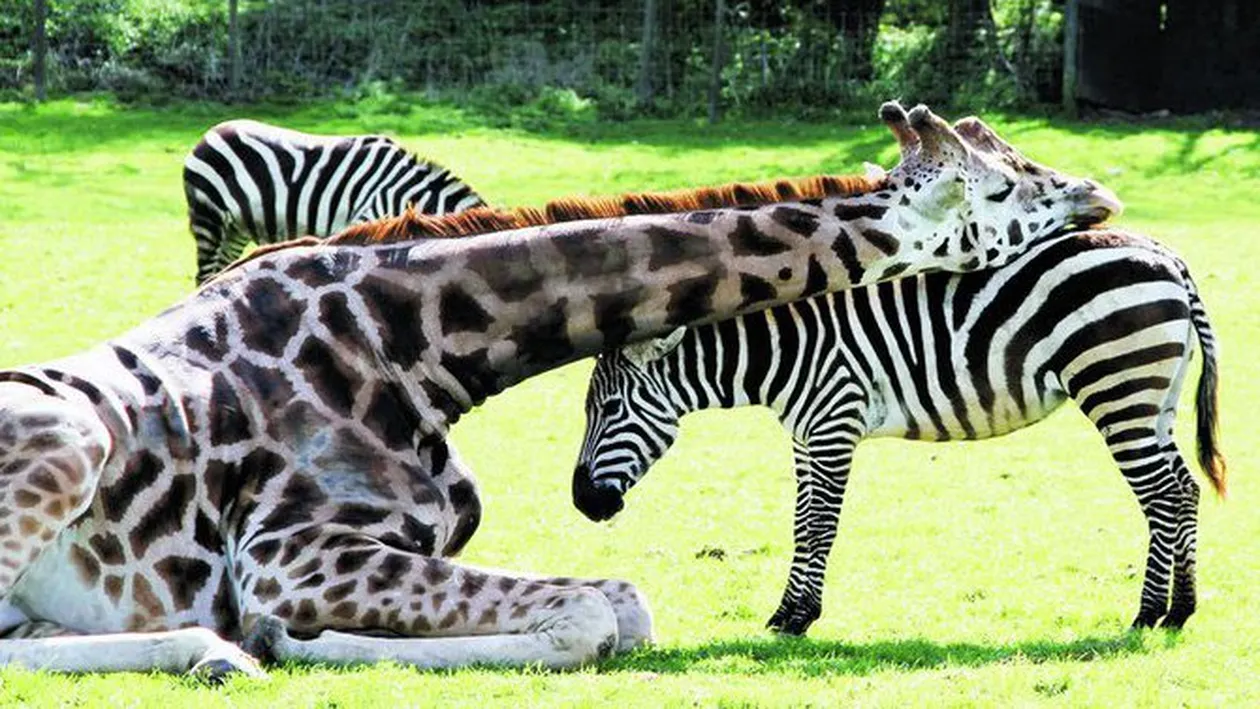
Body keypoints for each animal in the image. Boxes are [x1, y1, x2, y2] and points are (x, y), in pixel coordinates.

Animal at [183, 119, 484, 284]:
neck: (411, 196)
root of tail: (210, 133)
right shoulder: (369, 217)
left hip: (236, 228)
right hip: (208, 217)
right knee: (204, 274)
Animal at [571, 229, 1225, 635]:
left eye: (610, 407)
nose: (582, 503)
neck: (782, 349)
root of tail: (1168, 258)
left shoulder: (834, 420)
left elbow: (819, 525)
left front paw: (798, 617)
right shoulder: (806, 433)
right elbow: (802, 522)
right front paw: (790, 612)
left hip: (1118, 387)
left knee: (1161, 496)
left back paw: (1148, 613)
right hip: (1154, 396)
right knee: (1184, 489)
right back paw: (1182, 610)